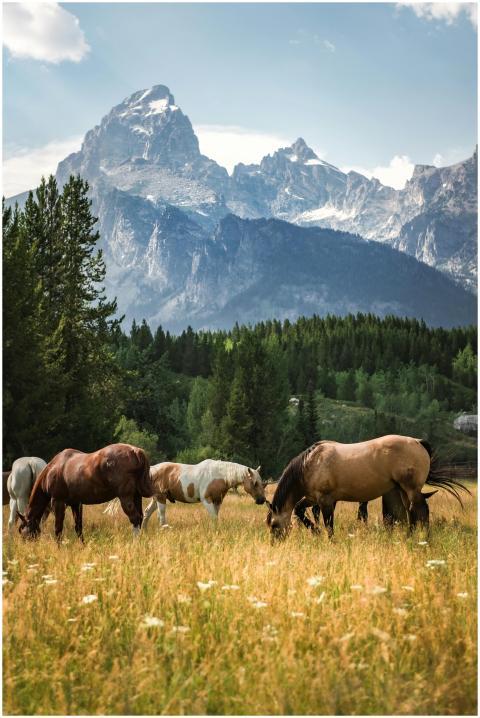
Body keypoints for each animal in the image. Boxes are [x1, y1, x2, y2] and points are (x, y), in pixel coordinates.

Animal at [17, 443, 152, 541]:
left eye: (24, 533)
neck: (53, 469)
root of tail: (135, 451)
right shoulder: (76, 504)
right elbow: (78, 527)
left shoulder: (58, 502)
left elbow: (58, 528)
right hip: (136, 496)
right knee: (140, 518)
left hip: (126, 497)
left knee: (135, 519)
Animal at [266, 436, 470, 540]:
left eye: (274, 525)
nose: (275, 544)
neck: (310, 464)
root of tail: (418, 442)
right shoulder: (313, 498)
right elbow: (299, 510)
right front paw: (315, 531)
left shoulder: (325, 500)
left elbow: (329, 525)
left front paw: (328, 540)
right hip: (403, 490)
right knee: (411, 512)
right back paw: (409, 537)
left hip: (411, 489)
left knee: (422, 511)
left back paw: (423, 538)